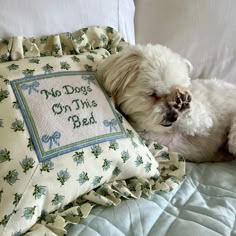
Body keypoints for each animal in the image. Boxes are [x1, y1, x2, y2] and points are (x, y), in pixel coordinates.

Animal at [97, 44, 236, 162]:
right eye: (153, 94)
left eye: (178, 90)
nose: (173, 116)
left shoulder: (203, 122)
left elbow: (201, 120)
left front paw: (184, 104)